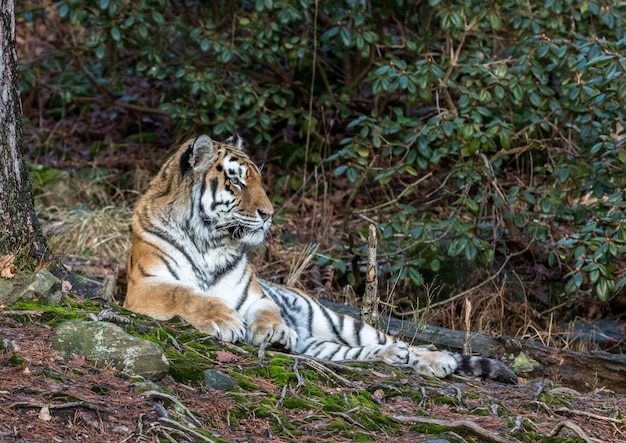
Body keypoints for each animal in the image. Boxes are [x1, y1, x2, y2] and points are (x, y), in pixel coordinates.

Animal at [123, 135, 516, 386]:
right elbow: (186, 294)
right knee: (363, 352)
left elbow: (267, 312)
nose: (269, 214)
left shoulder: (255, 296)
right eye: (236, 182)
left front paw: (275, 331)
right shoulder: (144, 287)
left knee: (397, 340)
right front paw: (225, 320)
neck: (209, 240)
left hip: (339, 321)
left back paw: (434, 359)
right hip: (324, 345)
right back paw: (392, 359)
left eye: (259, 181)